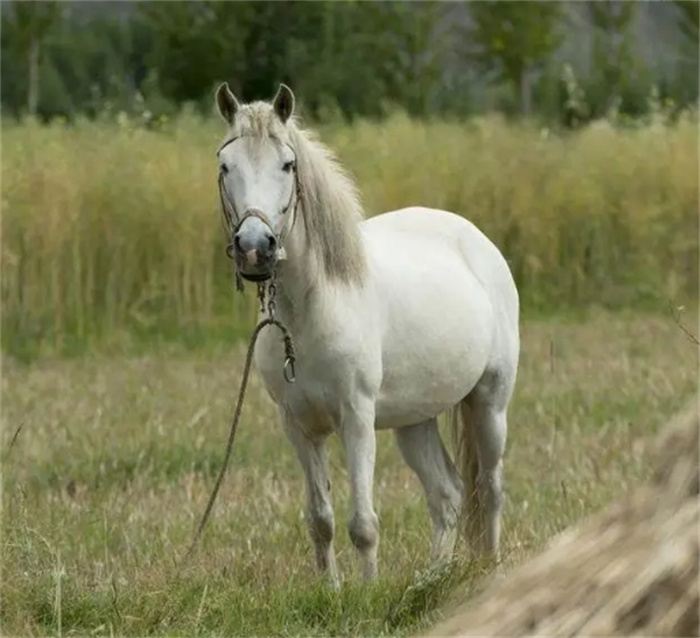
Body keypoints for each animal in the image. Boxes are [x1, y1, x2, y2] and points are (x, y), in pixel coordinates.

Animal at [215, 85, 520, 592]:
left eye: (287, 164)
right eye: (225, 165)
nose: (255, 248)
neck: (313, 307)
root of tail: (477, 241)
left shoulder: (356, 419)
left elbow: (363, 523)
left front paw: (368, 593)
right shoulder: (297, 426)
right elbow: (321, 519)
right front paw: (332, 592)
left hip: (489, 404)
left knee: (490, 489)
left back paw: (490, 571)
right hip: (414, 421)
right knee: (448, 495)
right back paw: (429, 581)